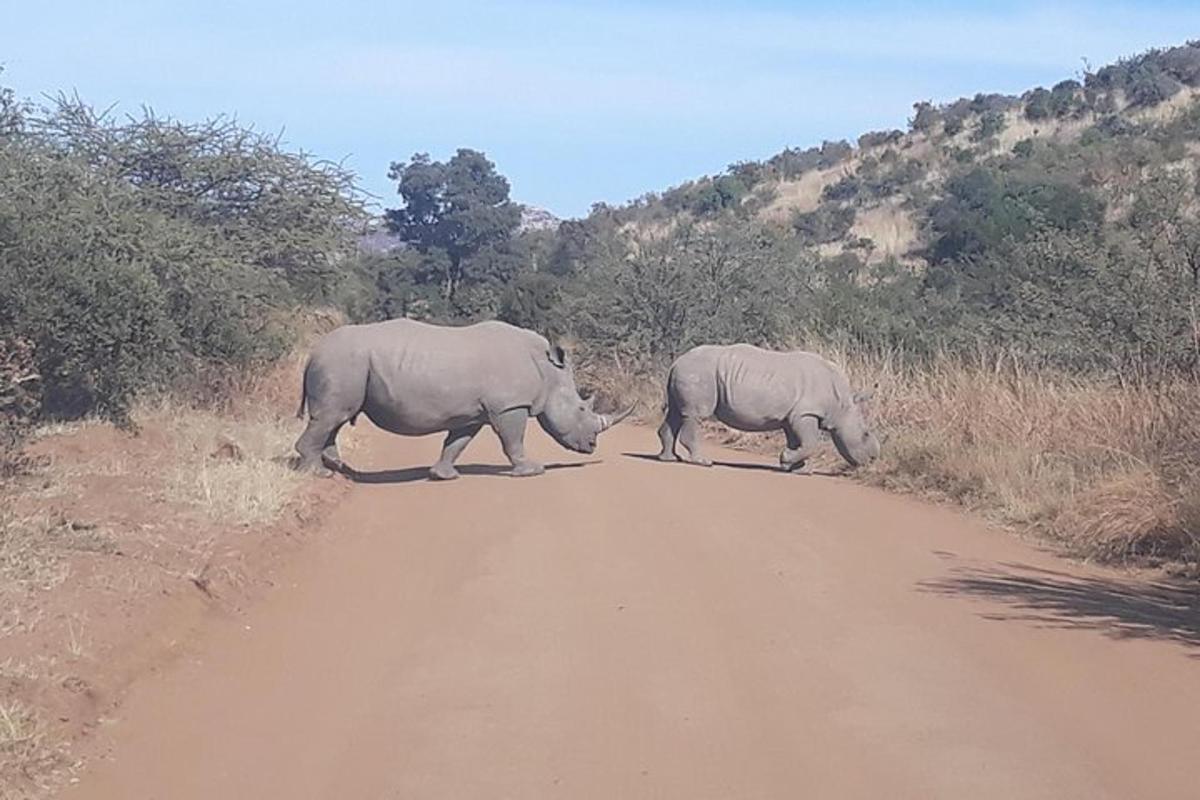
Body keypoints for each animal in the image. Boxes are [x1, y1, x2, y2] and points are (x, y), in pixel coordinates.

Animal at [295, 319, 633, 479]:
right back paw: (319, 472)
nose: (592, 446)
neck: (548, 371)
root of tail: (313, 352)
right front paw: (531, 470)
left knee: (336, 417)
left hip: (345, 364)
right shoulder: (510, 405)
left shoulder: (473, 413)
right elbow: (514, 440)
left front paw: (443, 476)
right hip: (342, 362)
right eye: (581, 408)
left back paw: (339, 467)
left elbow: (456, 443)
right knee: (332, 416)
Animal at [657, 343, 883, 470]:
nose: (873, 460)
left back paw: (669, 459)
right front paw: (788, 461)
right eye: (865, 434)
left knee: (675, 413)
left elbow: (797, 441)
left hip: (691, 372)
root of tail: (676, 362)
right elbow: (810, 443)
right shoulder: (805, 413)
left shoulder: (792, 417)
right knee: (695, 416)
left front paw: (796, 468)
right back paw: (703, 462)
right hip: (699, 373)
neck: (842, 404)